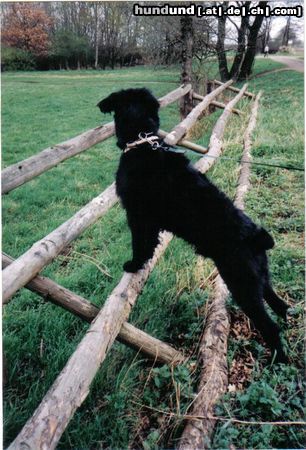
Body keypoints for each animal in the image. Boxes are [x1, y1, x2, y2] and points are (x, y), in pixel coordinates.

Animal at [98, 87, 290, 362]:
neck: (142, 143)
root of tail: (257, 236)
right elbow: (151, 242)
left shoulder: (137, 215)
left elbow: (141, 243)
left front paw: (134, 265)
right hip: (262, 281)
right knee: (281, 306)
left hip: (243, 286)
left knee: (269, 325)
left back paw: (279, 359)